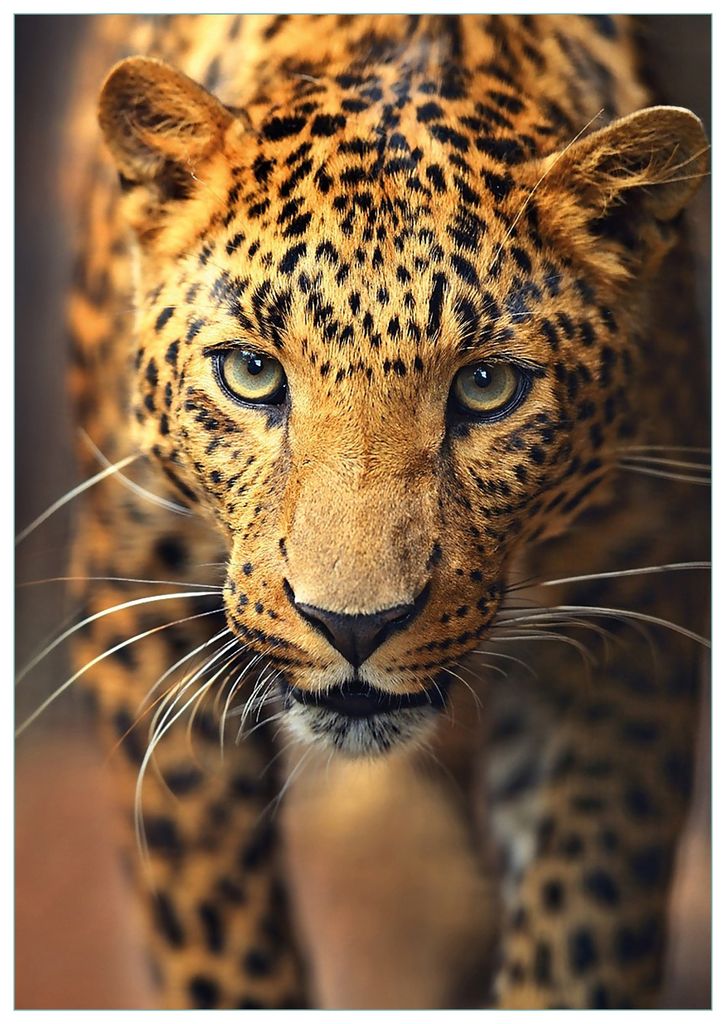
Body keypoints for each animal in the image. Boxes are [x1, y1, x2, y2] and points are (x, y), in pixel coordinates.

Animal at [18, 13, 710, 1010]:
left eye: (488, 387)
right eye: (251, 372)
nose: (353, 627)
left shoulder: (638, 601)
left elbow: (585, 919)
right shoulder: (138, 597)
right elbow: (219, 941)